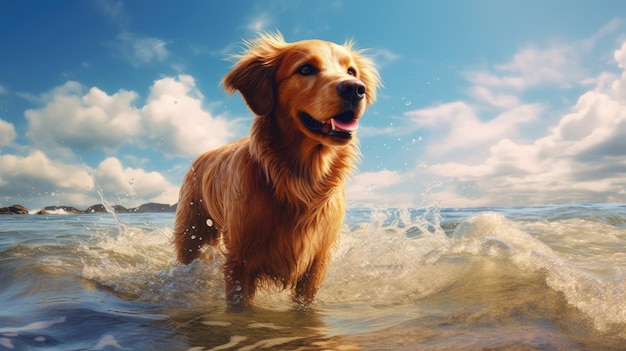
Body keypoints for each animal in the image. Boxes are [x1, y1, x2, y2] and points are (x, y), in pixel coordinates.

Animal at [173, 33, 378, 308]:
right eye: (305, 69)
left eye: (351, 71)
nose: (356, 89)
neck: (300, 181)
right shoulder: (240, 261)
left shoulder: (316, 264)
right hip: (190, 234)